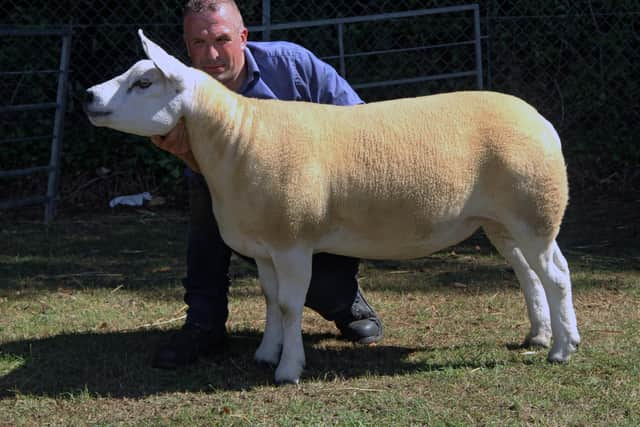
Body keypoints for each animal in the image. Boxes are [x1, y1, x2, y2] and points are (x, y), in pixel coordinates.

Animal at [84, 30, 580, 384]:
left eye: (144, 82)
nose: (88, 96)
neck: (238, 138)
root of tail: (541, 119)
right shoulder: (264, 247)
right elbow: (270, 300)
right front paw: (266, 353)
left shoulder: (292, 241)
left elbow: (290, 304)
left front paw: (288, 370)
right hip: (502, 220)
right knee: (528, 273)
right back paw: (538, 336)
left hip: (535, 210)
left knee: (555, 273)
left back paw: (562, 349)